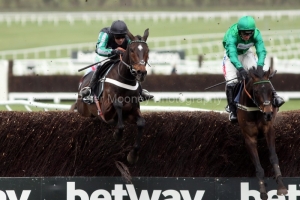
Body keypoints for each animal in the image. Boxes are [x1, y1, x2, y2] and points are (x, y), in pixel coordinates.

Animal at [70, 29, 150, 164]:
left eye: (147, 50)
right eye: (132, 50)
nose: (141, 72)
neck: (125, 80)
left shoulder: (132, 111)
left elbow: (141, 123)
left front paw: (133, 155)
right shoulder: (105, 111)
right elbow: (117, 105)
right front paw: (117, 133)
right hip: (84, 112)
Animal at [237, 65, 288, 198]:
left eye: (271, 90)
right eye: (256, 91)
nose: (268, 113)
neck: (255, 110)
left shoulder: (269, 131)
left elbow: (273, 157)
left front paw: (281, 187)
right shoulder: (249, 138)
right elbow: (258, 167)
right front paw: (263, 192)